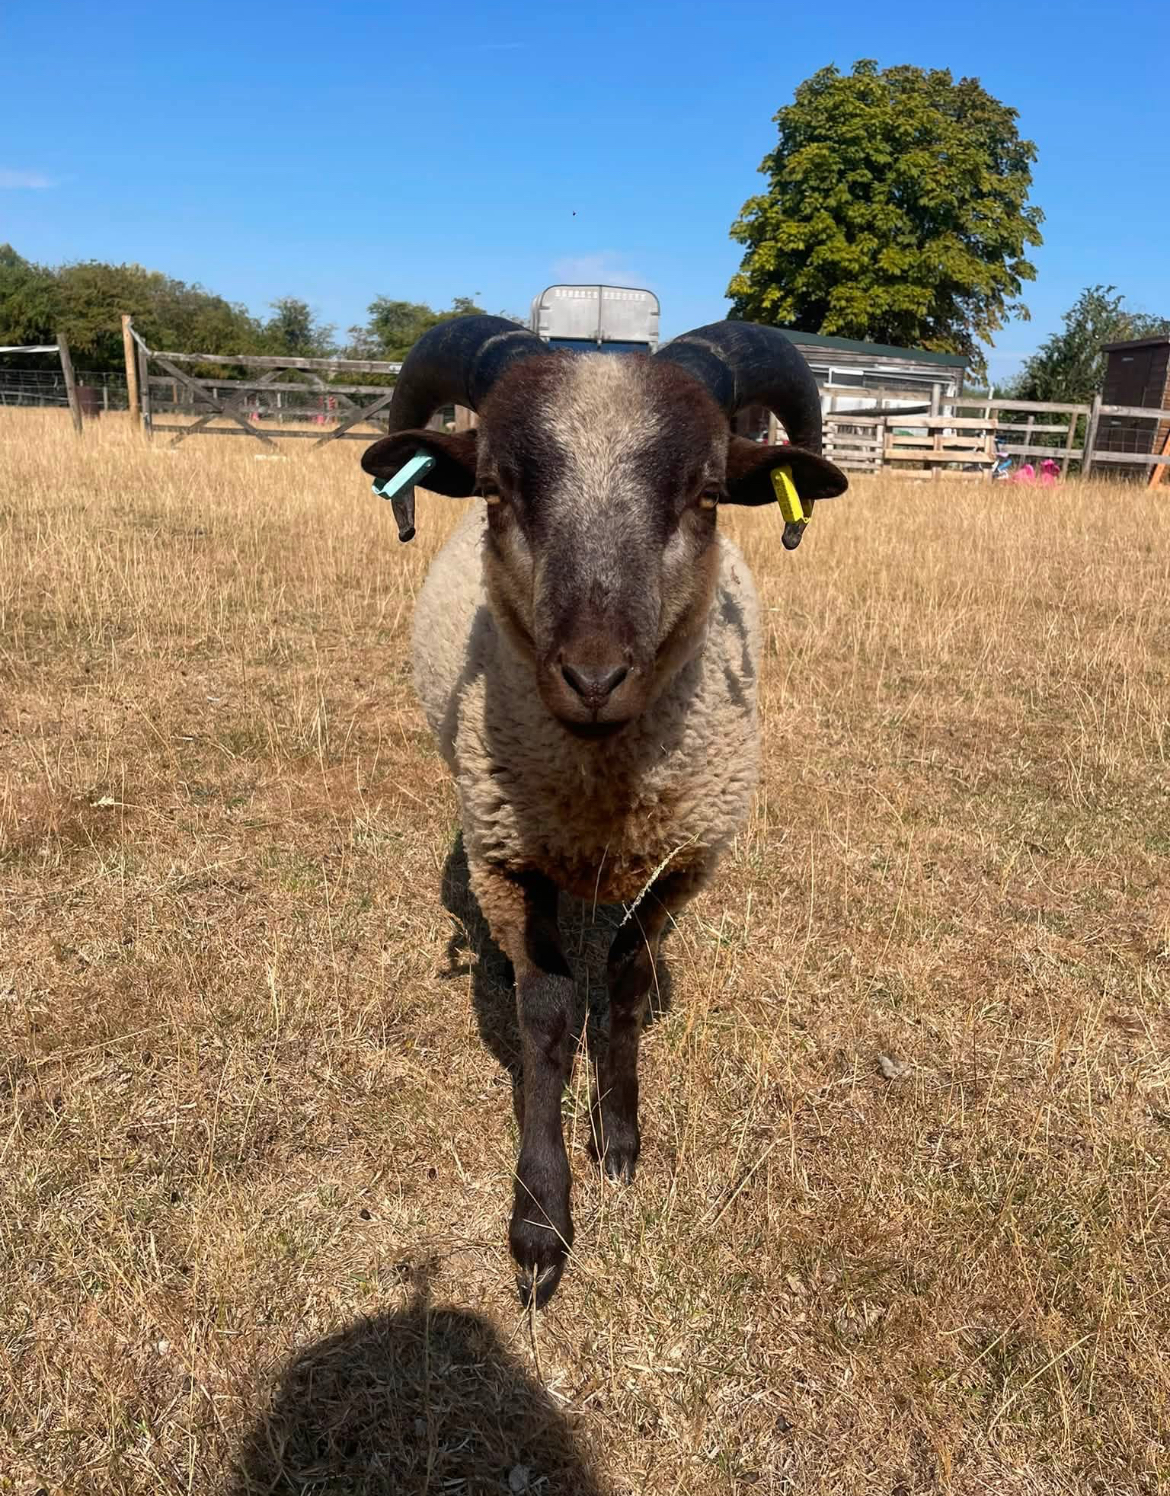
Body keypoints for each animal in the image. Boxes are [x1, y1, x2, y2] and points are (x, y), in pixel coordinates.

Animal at [361, 317, 848, 1305]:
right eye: (497, 488)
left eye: (707, 493)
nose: (593, 677)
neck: (600, 791)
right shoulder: (511, 859)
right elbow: (547, 1018)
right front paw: (540, 1223)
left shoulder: (683, 861)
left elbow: (622, 985)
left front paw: (618, 1138)